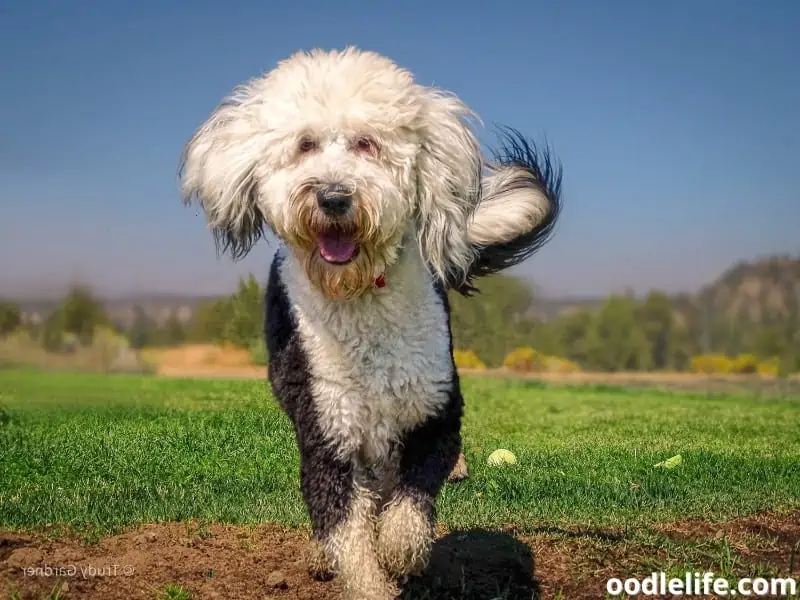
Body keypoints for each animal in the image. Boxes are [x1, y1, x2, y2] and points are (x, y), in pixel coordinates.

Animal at [178, 48, 560, 600]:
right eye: (305, 145)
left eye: (367, 143)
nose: (334, 197)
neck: (360, 300)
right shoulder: (328, 434)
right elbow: (347, 529)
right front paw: (367, 573)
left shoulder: (433, 417)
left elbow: (409, 509)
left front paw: (402, 556)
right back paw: (322, 554)